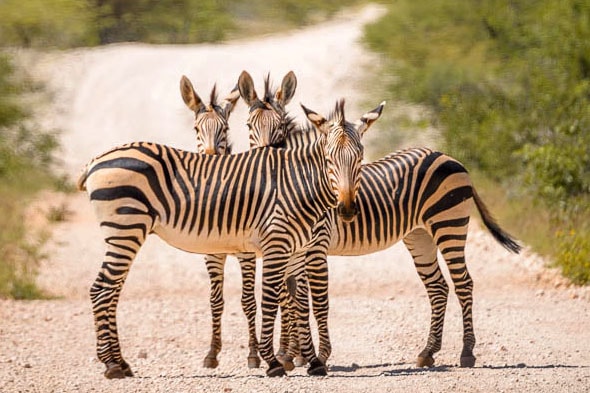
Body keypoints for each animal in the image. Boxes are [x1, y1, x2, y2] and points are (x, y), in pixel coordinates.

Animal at [76, 93, 382, 378]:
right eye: (329, 160)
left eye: (359, 159)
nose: (347, 209)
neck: (297, 182)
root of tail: (96, 160)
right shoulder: (276, 243)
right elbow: (270, 299)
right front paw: (273, 362)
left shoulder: (298, 248)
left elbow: (301, 302)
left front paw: (312, 361)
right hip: (126, 228)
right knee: (102, 289)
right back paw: (112, 365)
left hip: (125, 233)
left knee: (111, 290)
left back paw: (121, 363)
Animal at [240, 76, 524, 368]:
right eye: (249, 125)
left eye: (281, 128)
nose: (346, 209)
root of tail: (448, 156)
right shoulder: (294, 250)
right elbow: (293, 297)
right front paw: (291, 355)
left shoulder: (315, 246)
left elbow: (311, 300)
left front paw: (314, 355)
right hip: (419, 235)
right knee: (438, 287)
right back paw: (428, 351)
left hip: (449, 225)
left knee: (463, 283)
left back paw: (466, 352)